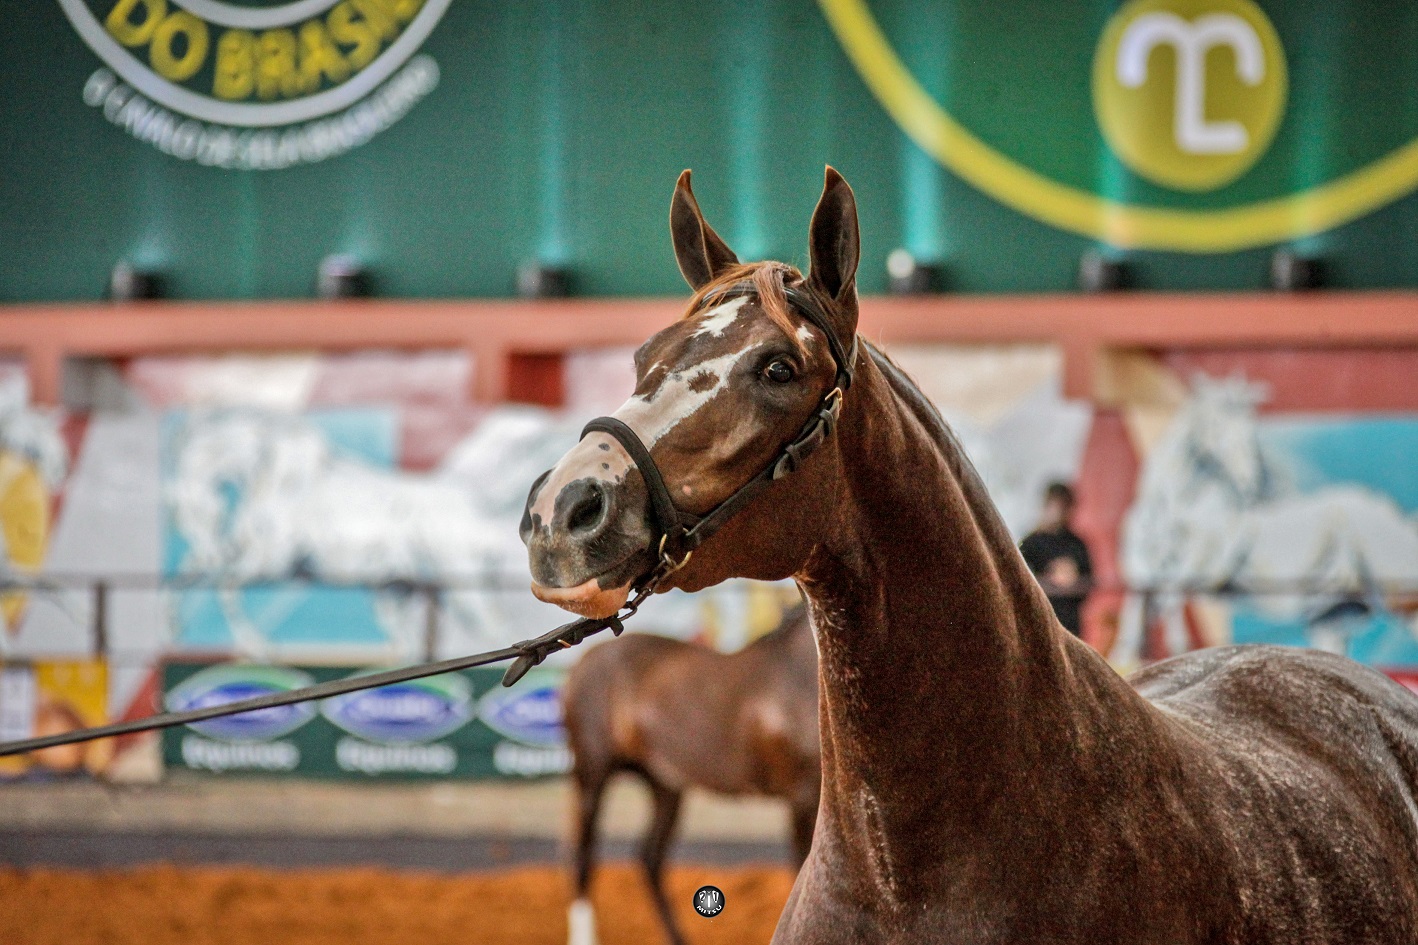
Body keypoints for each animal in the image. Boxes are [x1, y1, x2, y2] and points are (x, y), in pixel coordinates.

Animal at [555, 598, 816, 942]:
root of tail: (582, 662)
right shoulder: (802, 799)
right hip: (591, 775)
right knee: (584, 857)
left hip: (664, 784)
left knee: (649, 858)